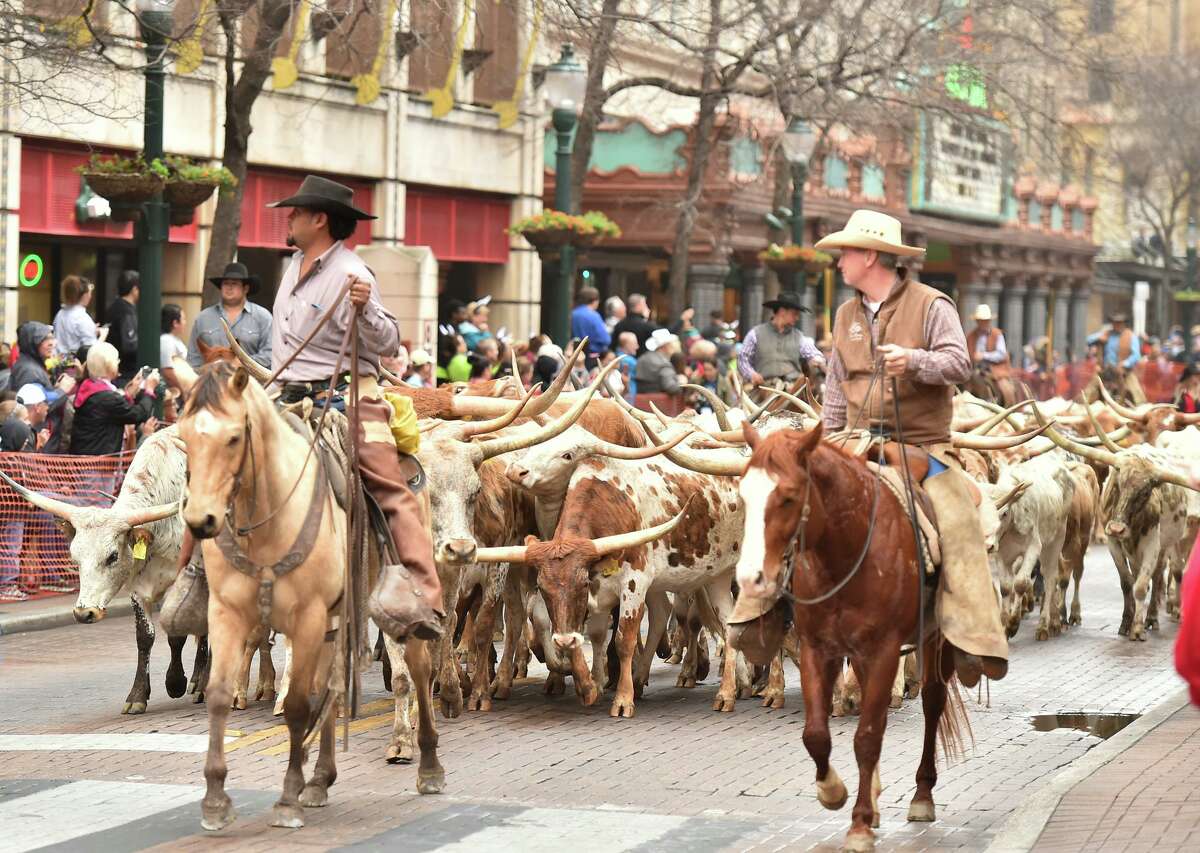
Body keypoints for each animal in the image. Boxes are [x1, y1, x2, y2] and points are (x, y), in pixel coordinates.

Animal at [182, 364, 451, 830]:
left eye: (233, 437)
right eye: (183, 437)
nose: (201, 520)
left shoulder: (306, 616)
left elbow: (295, 704)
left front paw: (288, 797)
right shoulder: (227, 613)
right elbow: (219, 693)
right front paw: (215, 799)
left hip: (395, 608)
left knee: (417, 670)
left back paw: (428, 766)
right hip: (334, 618)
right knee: (334, 683)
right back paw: (322, 778)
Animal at [729, 424, 964, 849]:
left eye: (789, 496)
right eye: (743, 496)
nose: (750, 578)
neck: (845, 553)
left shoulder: (885, 650)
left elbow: (868, 736)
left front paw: (858, 824)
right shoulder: (817, 649)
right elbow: (816, 734)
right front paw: (833, 791)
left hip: (935, 641)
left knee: (932, 704)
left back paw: (921, 795)